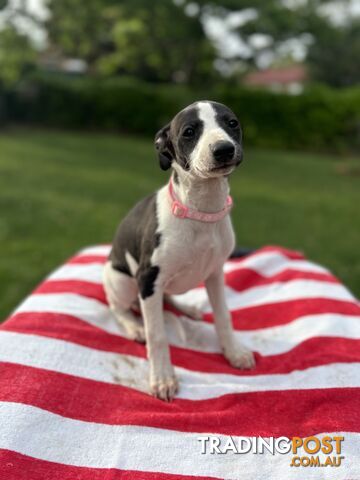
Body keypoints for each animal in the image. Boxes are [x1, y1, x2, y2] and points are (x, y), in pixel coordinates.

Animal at [103, 100, 256, 402]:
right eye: (189, 132)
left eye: (232, 123)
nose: (224, 149)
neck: (200, 212)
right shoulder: (148, 278)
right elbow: (157, 335)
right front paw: (163, 377)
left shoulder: (216, 273)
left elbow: (224, 316)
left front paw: (233, 352)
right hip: (122, 280)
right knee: (119, 308)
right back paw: (134, 326)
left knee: (167, 299)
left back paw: (187, 308)